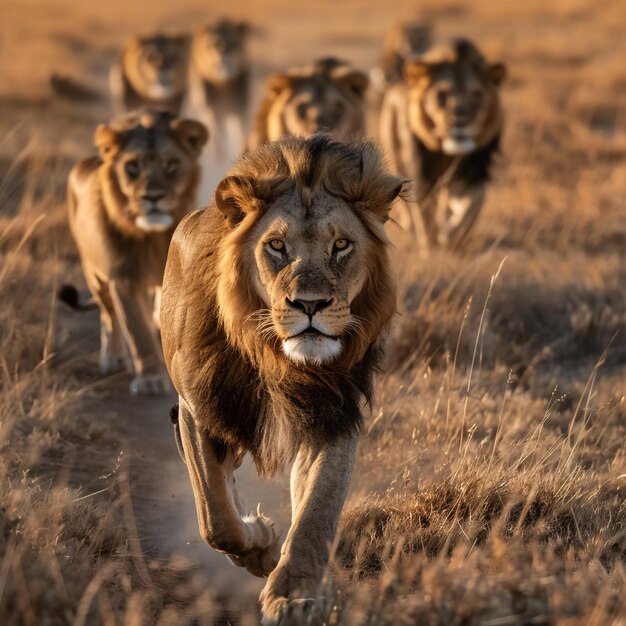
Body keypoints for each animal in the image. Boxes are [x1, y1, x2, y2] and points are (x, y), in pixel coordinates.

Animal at [63, 106, 210, 390]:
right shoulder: (124, 277)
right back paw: (113, 358)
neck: (152, 237)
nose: (153, 197)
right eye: (132, 167)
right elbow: (137, 329)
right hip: (94, 276)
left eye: (171, 165)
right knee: (109, 315)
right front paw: (151, 379)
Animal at [161, 134, 402, 620]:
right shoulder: (197, 407)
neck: (280, 363)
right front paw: (261, 548)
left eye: (341, 245)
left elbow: (316, 510)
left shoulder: (333, 415)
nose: (309, 304)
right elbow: (215, 516)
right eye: (276, 246)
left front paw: (295, 592)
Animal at [378, 37, 504, 249]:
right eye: (442, 95)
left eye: (476, 95)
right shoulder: (421, 173)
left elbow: (471, 206)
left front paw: (451, 236)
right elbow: (424, 212)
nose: (460, 119)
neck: (449, 152)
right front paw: (431, 245)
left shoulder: (474, 171)